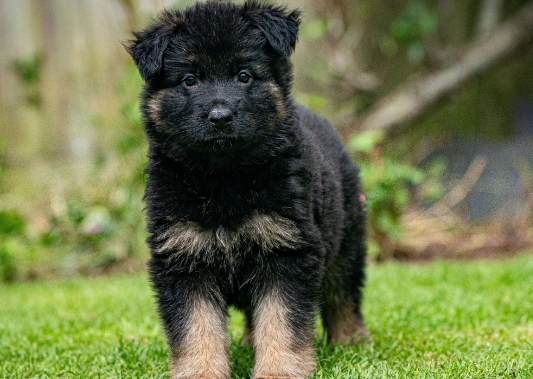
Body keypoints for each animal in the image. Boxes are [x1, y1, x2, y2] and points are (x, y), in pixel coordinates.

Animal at [125, 1, 366, 378]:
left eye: (244, 75)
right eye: (190, 80)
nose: (220, 116)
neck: (224, 178)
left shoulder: (287, 250)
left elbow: (282, 321)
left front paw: (278, 370)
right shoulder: (182, 256)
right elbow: (196, 327)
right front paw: (201, 371)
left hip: (346, 239)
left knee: (343, 293)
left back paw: (351, 342)